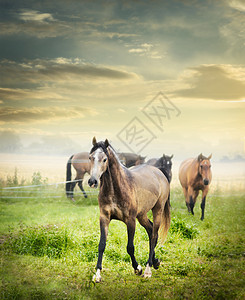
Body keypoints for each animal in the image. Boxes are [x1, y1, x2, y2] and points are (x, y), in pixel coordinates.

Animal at [88, 137, 170, 282]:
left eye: (104, 159)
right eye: (90, 157)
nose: (93, 181)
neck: (116, 188)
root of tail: (159, 172)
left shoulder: (130, 220)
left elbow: (130, 247)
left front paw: (138, 268)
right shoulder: (104, 217)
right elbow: (101, 245)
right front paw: (97, 275)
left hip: (158, 210)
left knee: (154, 235)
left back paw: (148, 269)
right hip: (142, 215)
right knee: (150, 230)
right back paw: (155, 262)